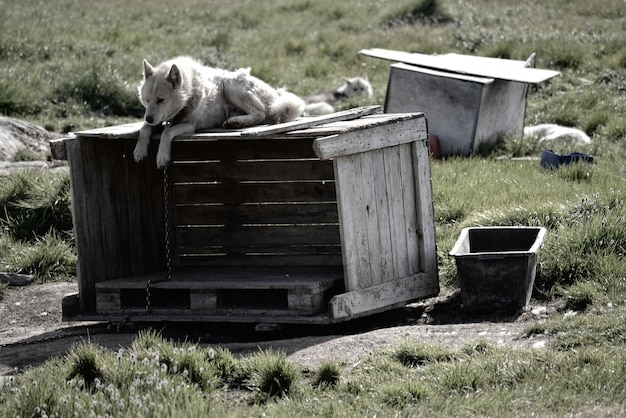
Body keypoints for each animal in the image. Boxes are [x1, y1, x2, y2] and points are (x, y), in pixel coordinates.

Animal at [133, 56, 304, 169]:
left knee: (260, 113)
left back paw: (237, 122)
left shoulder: (189, 125)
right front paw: (139, 151)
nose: (148, 118)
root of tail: (276, 94)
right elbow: (144, 129)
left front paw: (162, 156)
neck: (188, 93)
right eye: (147, 100)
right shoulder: (161, 120)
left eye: (161, 100)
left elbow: (166, 133)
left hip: (230, 86)